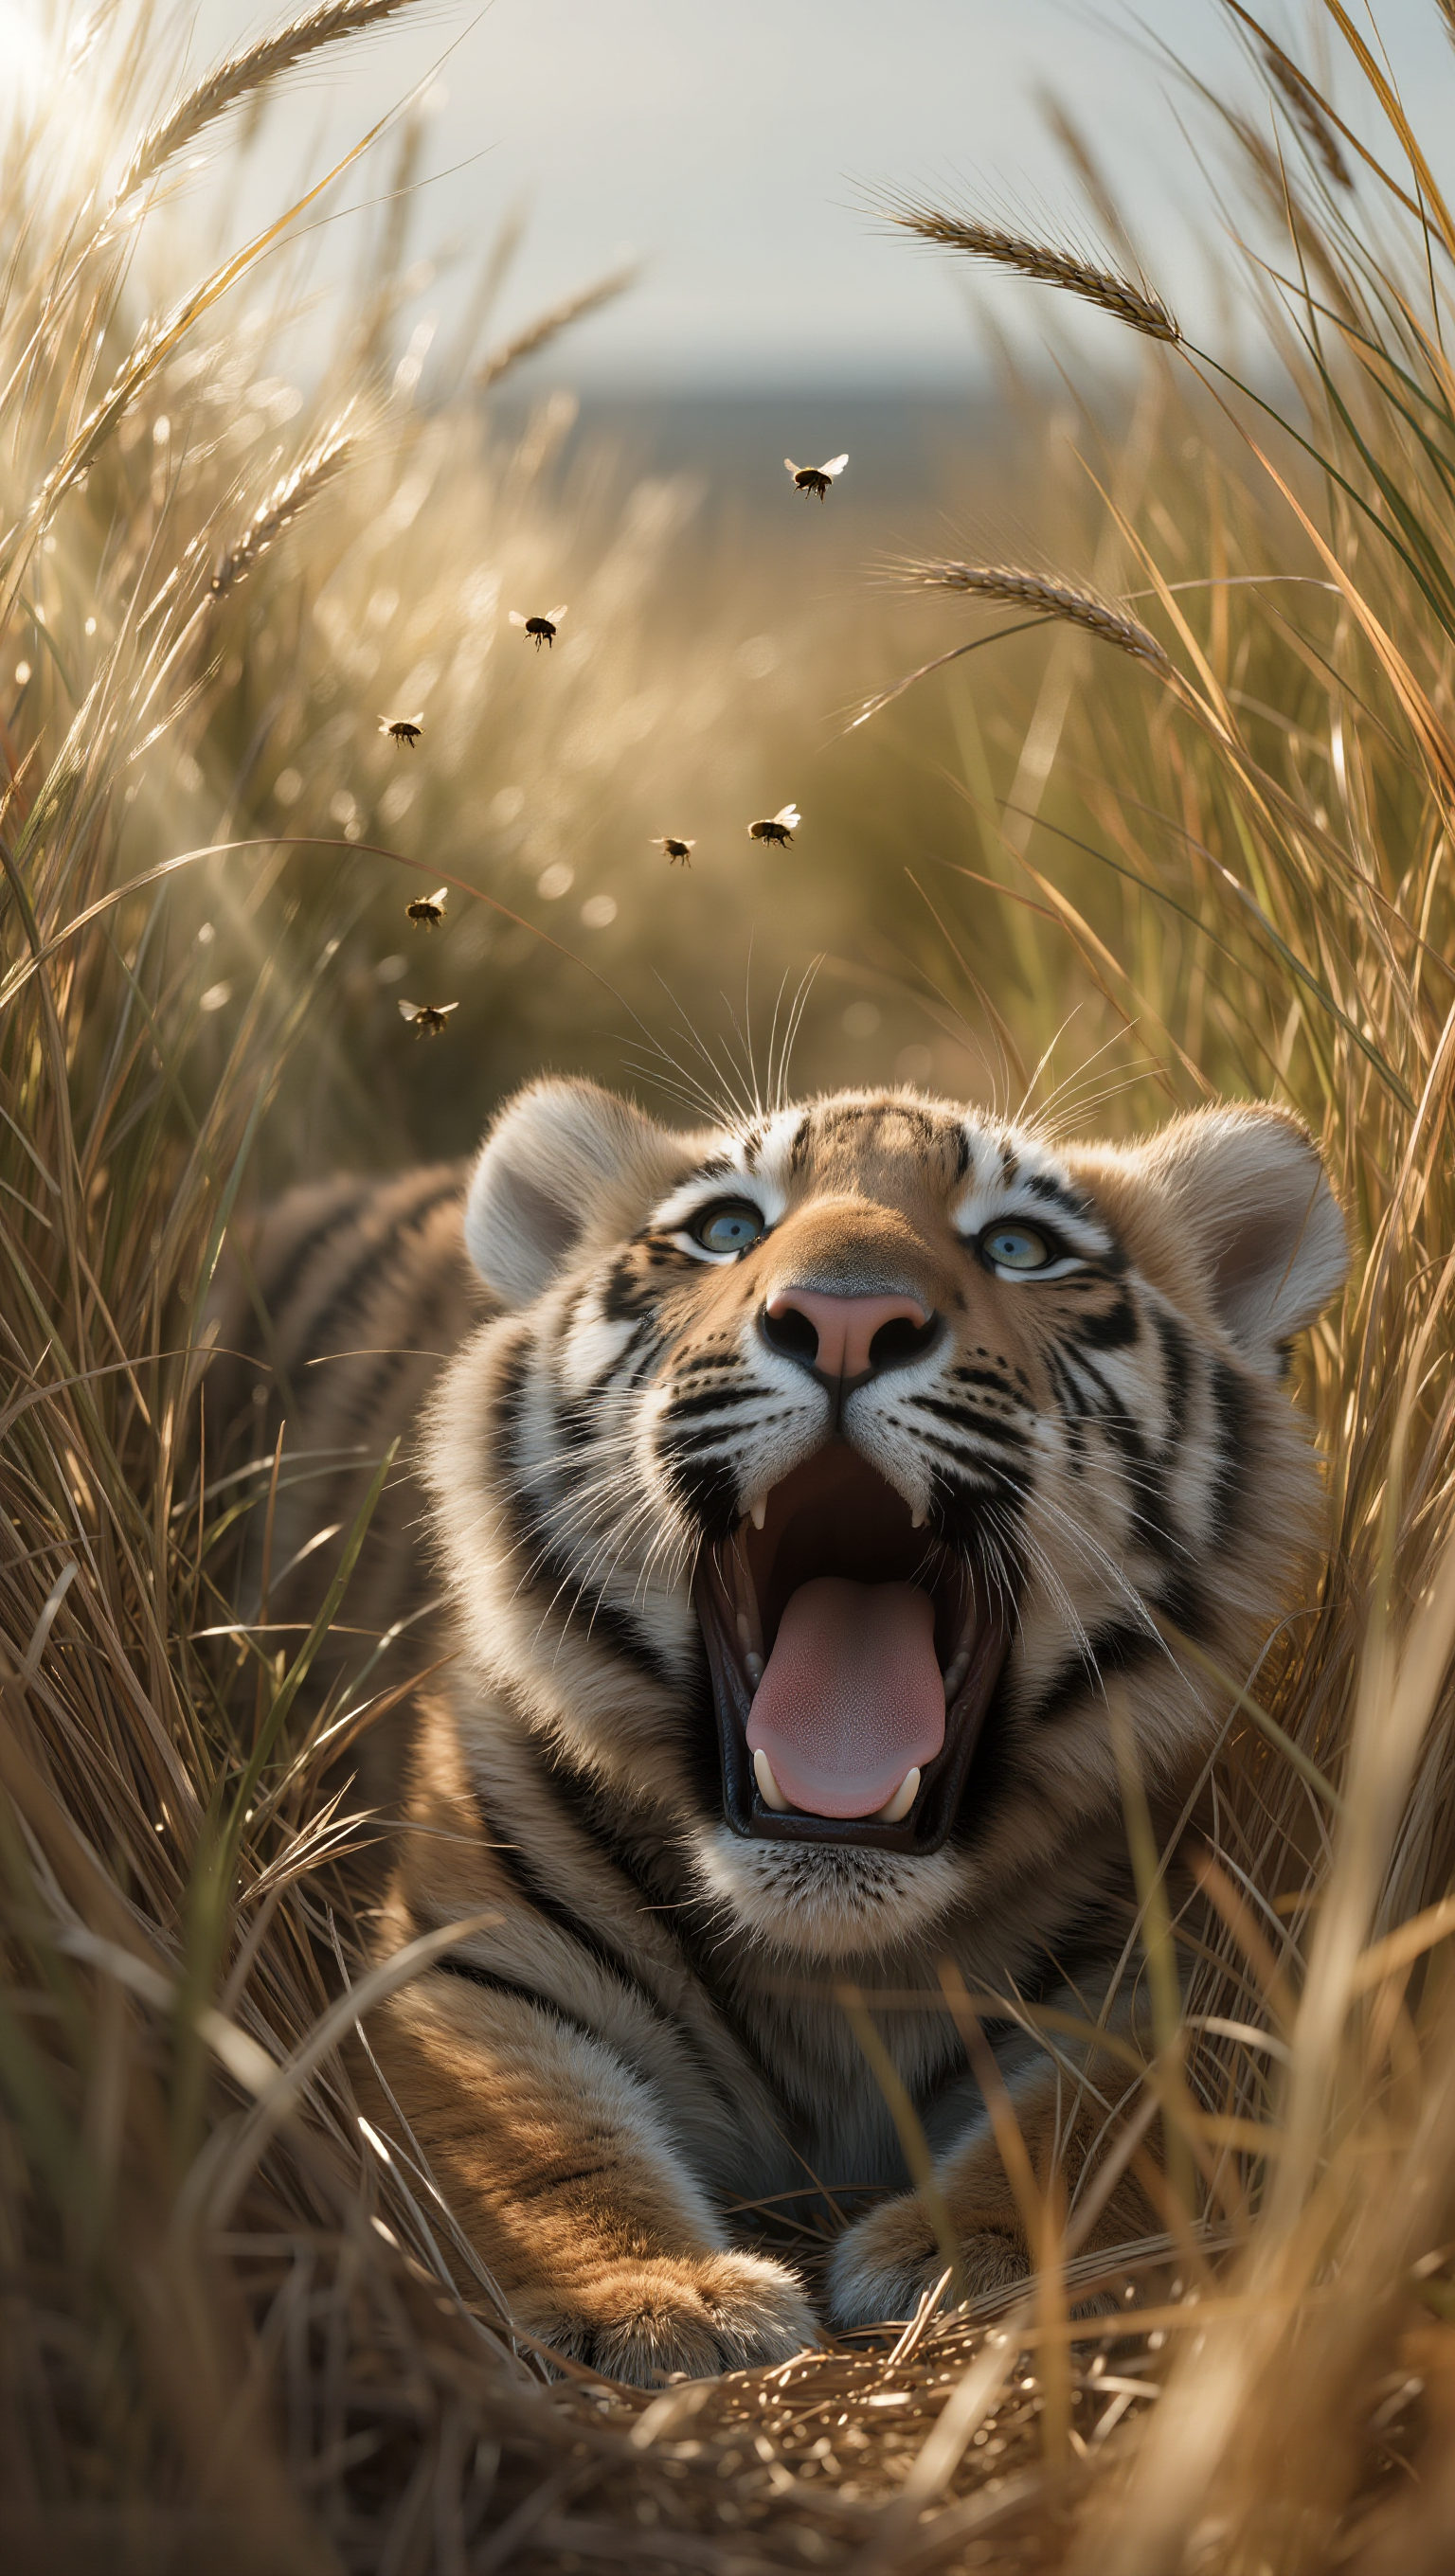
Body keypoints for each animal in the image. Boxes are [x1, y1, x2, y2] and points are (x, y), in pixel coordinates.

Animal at [218, 1077, 1348, 2384]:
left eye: (1019, 1246)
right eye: (724, 1229)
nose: (846, 1318)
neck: (830, 1967)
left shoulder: (1157, 1978)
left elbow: (1100, 2123)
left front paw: (973, 2250)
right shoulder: (469, 1970)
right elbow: (529, 2143)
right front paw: (653, 2297)